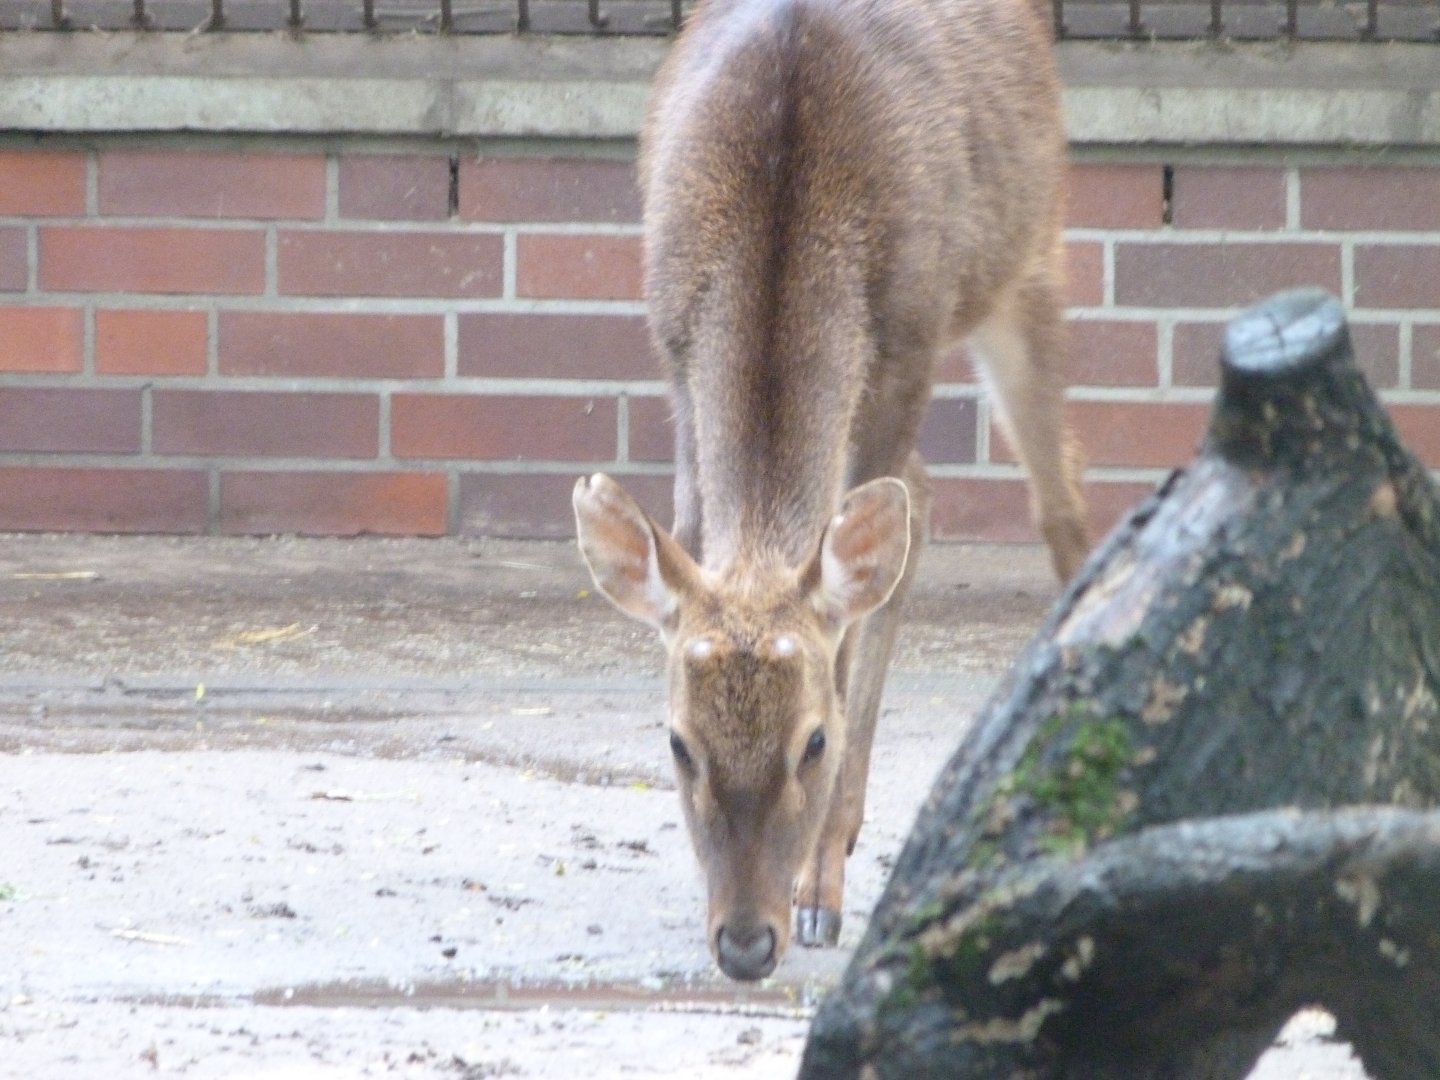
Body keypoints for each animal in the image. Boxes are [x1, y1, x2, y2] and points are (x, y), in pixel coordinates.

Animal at [573, 0, 1088, 983]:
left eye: (814, 739)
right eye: (678, 743)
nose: (744, 942)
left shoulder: (903, 350)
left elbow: (852, 625)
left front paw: (818, 893)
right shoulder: (674, 356)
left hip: (1030, 248)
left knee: (1058, 506)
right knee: (928, 494)